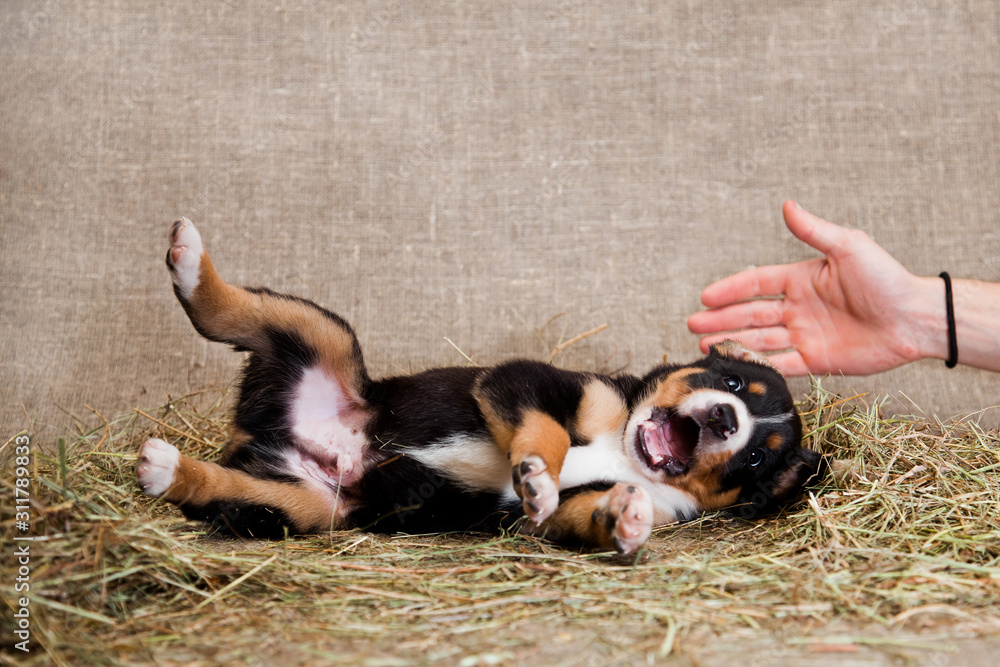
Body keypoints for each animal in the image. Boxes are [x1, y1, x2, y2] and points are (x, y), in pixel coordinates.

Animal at [139, 218, 828, 552]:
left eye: (758, 457)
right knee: (234, 312)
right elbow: (549, 435)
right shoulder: (529, 382)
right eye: (732, 379)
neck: (626, 454)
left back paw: (165, 468)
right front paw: (536, 473)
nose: (726, 420)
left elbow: (579, 512)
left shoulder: (555, 519)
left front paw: (627, 521)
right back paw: (188, 259)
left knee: (226, 487)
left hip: (306, 503)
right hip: (320, 334)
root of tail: (261, 435)